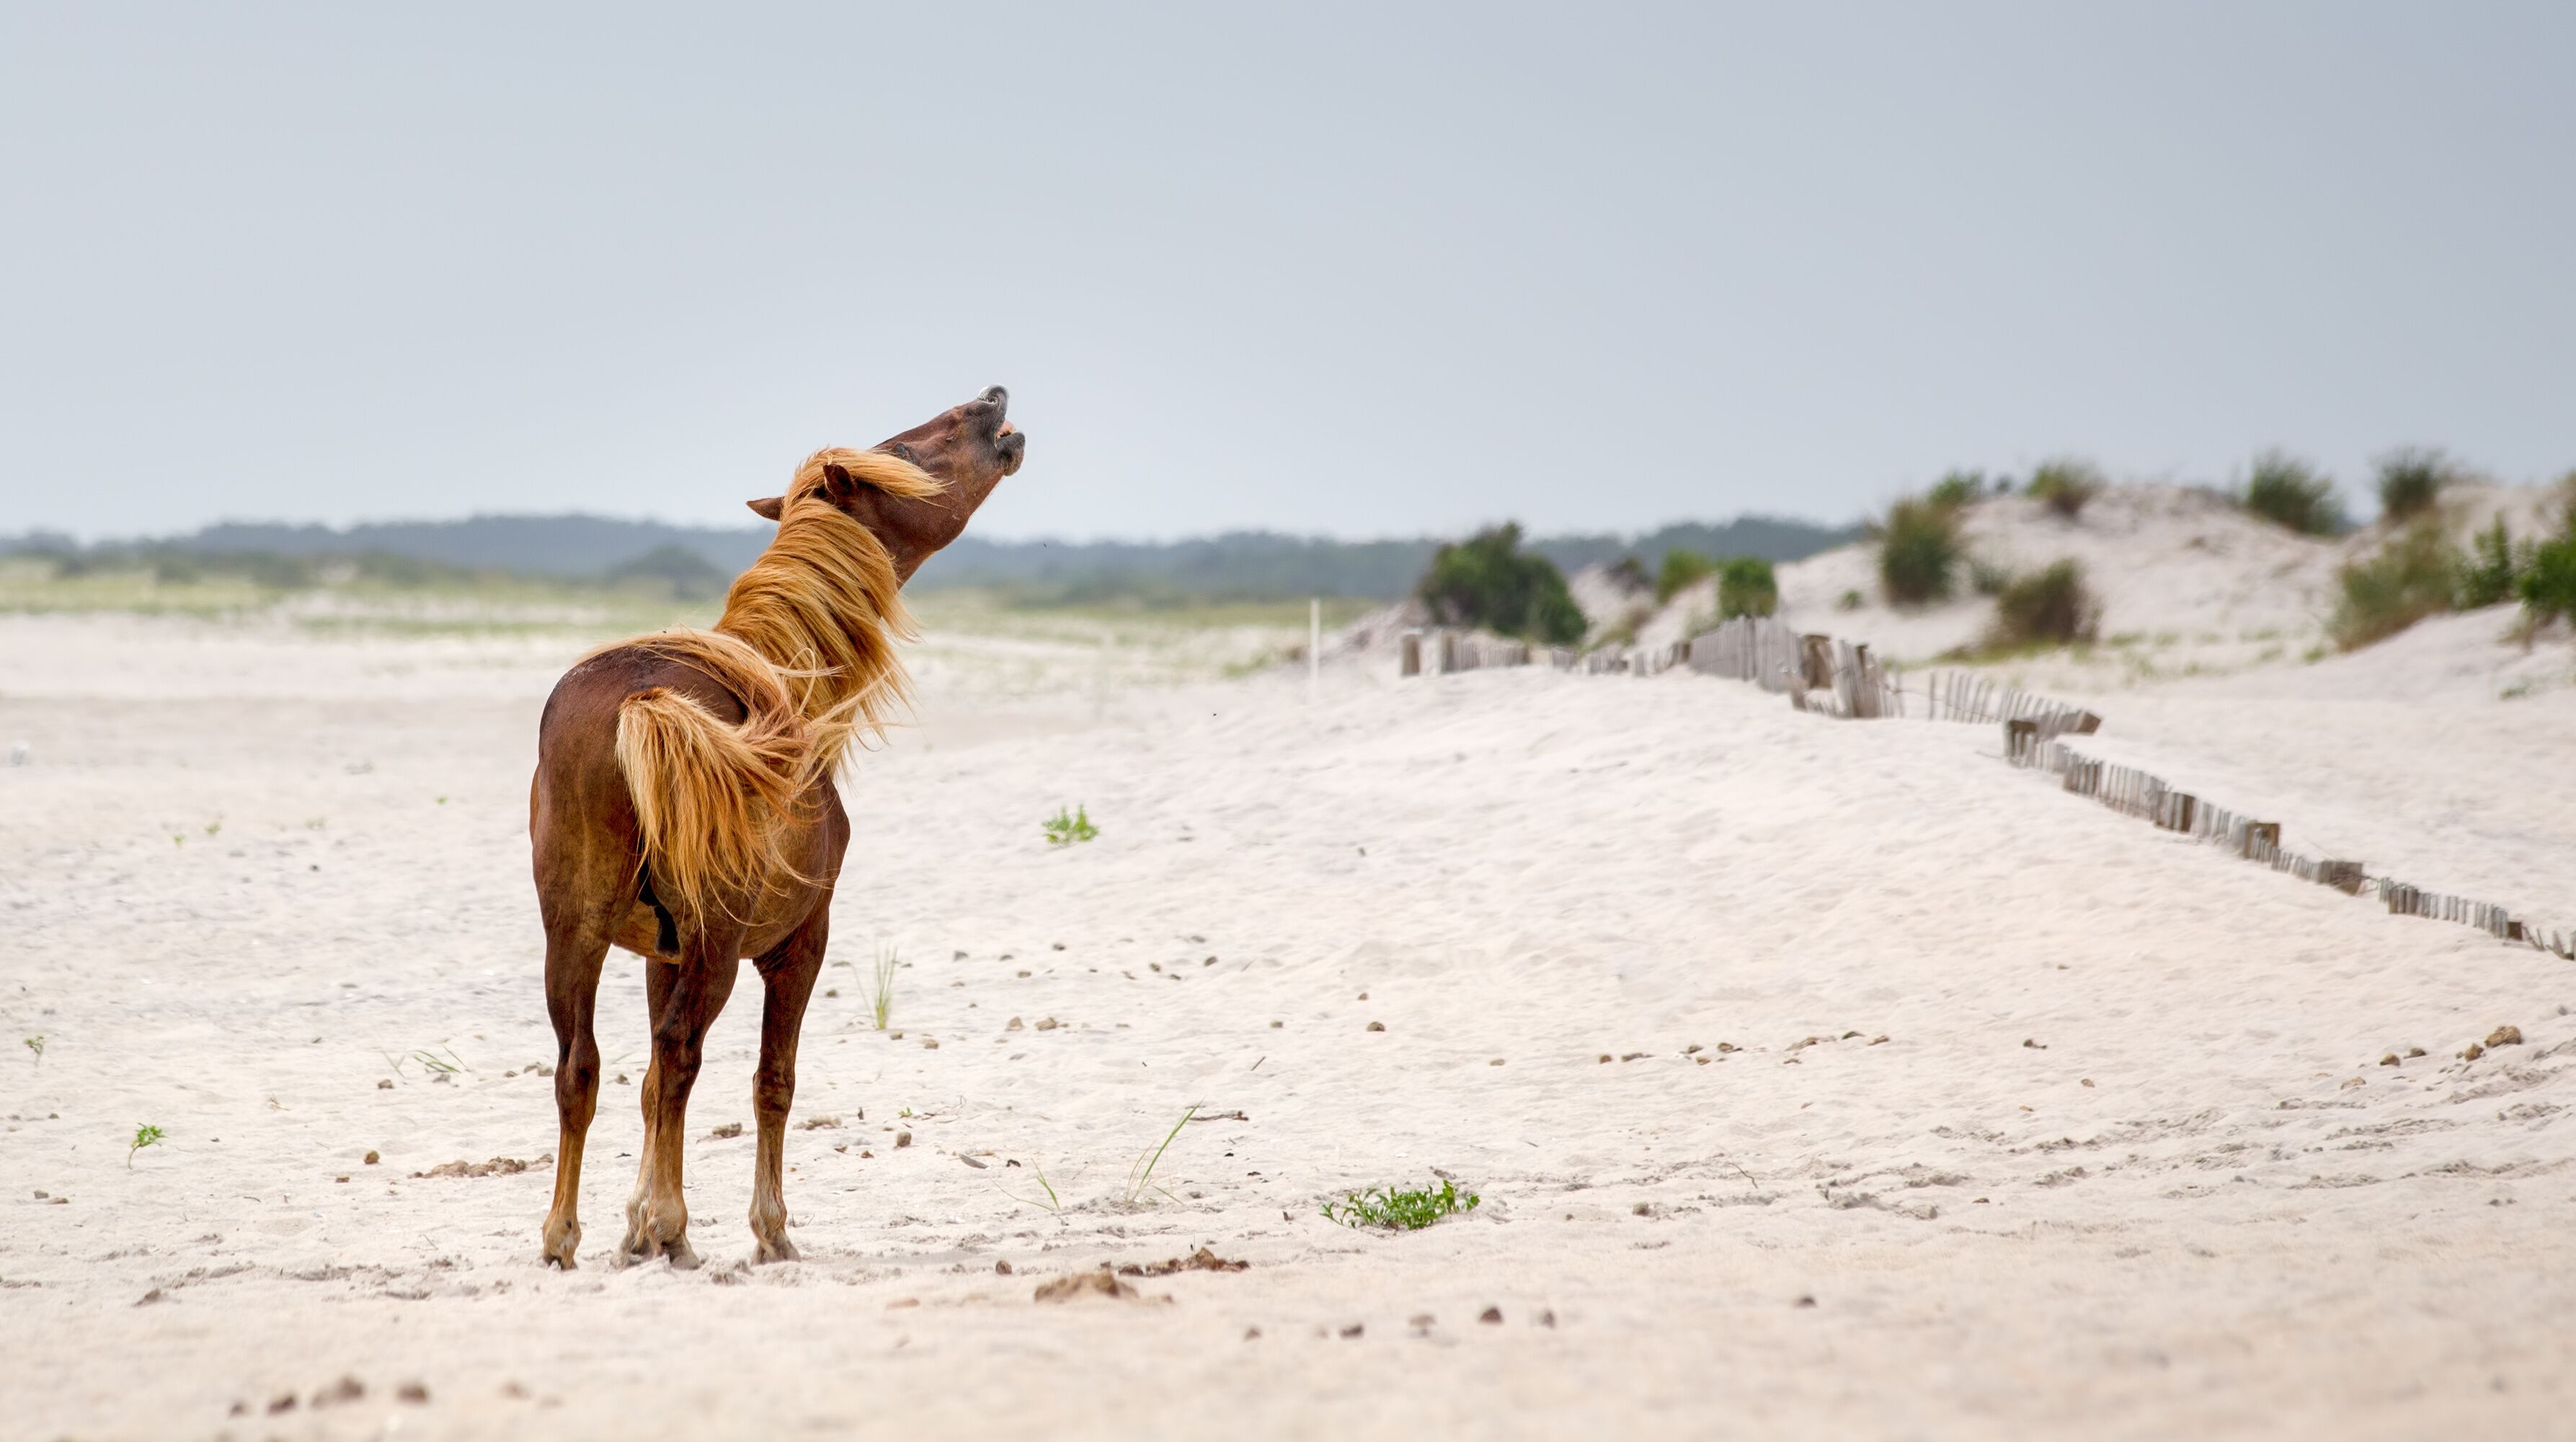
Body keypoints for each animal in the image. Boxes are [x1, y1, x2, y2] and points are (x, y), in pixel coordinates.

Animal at [530, 386, 1024, 1270]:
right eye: (906, 449)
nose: (991, 398)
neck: (789, 680)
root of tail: (641, 701)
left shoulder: (660, 951)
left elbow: (646, 1085)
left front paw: (632, 1228)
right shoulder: (800, 943)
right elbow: (772, 1081)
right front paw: (765, 1230)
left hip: (574, 934)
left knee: (581, 1069)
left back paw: (564, 1237)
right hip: (720, 947)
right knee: (684, 1054)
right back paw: (677, 1229)